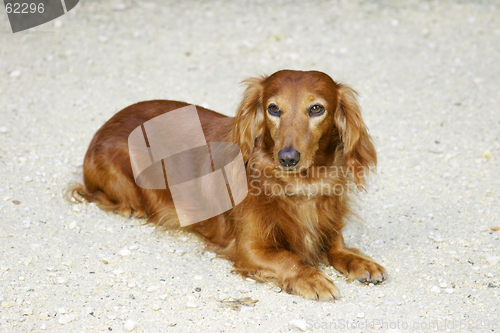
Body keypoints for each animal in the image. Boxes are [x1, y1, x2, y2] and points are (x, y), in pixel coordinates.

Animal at [68, 69, 384, 298]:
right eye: (273, 109)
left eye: (316, 109)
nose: (288, 158)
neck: (298, 185)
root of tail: (106, 123)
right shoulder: (250, 249)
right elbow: (290, 259)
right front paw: (312, 278)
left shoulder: (330, 232)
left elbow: (340, 250)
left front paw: (361, 262)